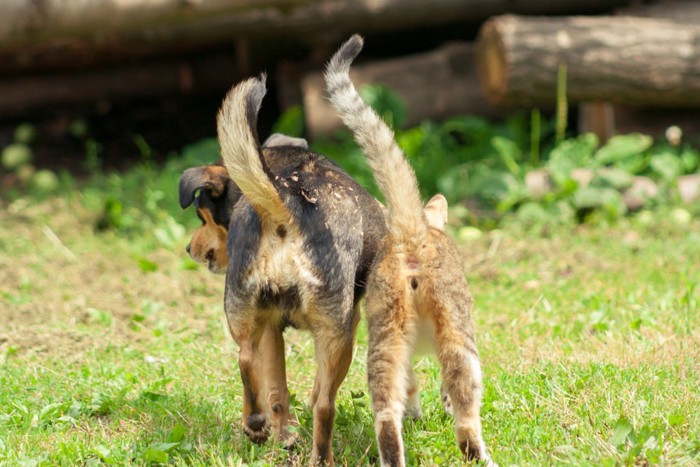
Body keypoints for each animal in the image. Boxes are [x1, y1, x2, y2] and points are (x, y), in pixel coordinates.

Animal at [186, 75, 388, 466]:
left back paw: (259, 425)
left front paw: (281, 432)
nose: (190, 249)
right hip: (339, 334)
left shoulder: (272, 328)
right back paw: (311, 452)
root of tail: (284, 206)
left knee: (250, 362)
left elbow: (277, 387)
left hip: (247, 313)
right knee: (323, 403)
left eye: (204, 218)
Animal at [324, 34, 492, 466]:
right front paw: (440, 405)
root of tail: (409, 235)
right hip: (456, 326)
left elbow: (411, 386)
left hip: (384, 331)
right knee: (465, 400)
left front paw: (415, 412)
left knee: (385, 407)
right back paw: (480, 452)